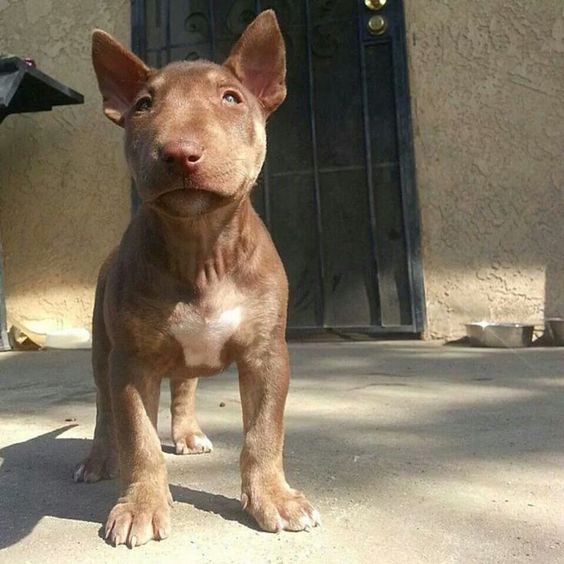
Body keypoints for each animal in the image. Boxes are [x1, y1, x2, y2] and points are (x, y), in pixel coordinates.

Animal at [74, 8, 320, 548]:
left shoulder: (267, 355)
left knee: (183, 386)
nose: (179, 152)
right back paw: (98, 459)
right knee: (104, 409)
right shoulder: (131, 362)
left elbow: (265, 432)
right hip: (103, 349)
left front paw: (274, 498)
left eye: (230, 98)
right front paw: (141, 506)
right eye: (143, 105)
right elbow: (138, 437)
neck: (202, 248)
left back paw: (187, 434)